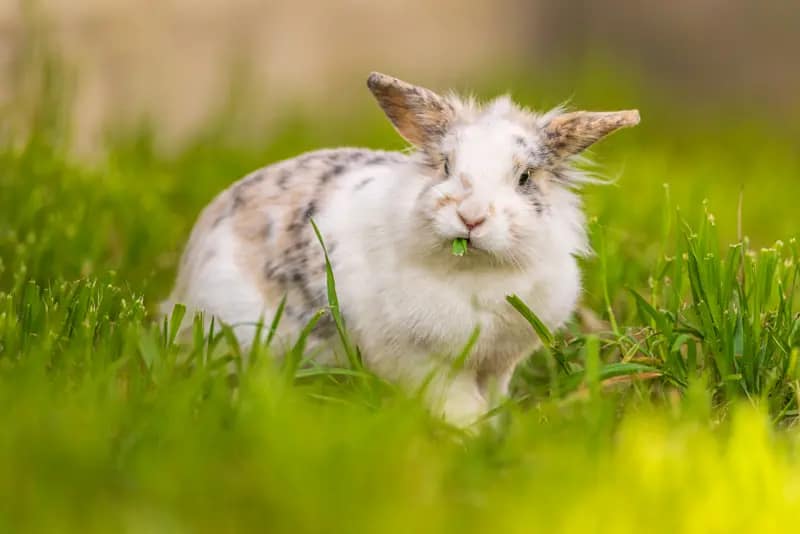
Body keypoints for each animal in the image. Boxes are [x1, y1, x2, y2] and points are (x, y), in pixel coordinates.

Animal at [162, 72, 639, 427]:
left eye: (524, 178)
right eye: (446, 166)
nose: (471, 217)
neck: (477, 273)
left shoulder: (499, 363)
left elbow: (492, 395)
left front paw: (496, 427)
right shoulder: (422, 361)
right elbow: (458, 402)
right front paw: (472, 434)